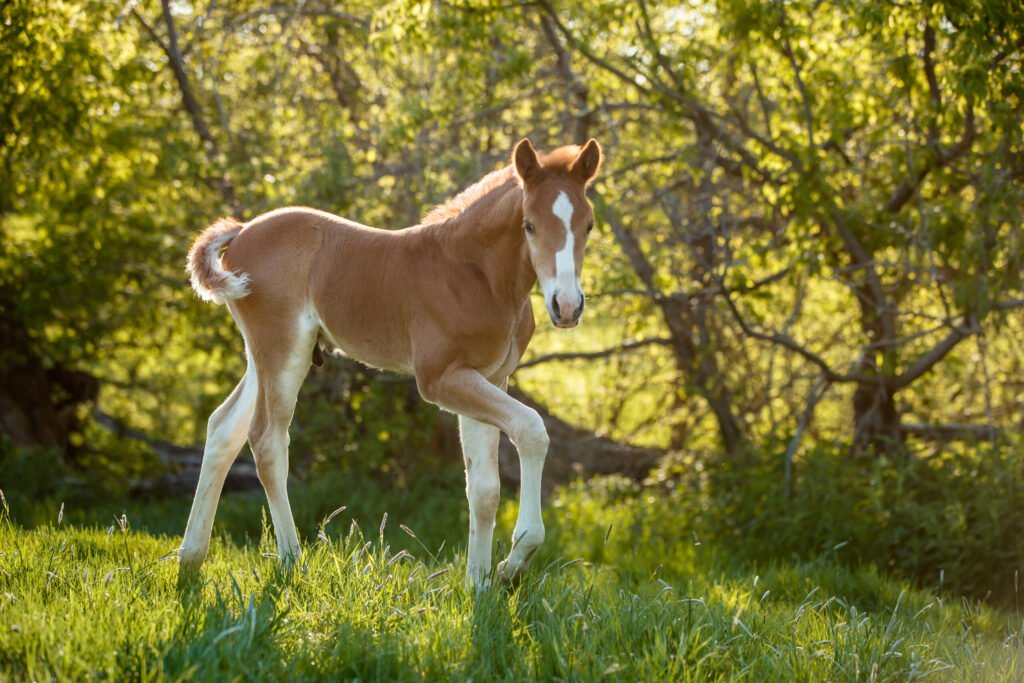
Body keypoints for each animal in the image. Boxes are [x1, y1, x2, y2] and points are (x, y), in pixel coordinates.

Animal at [180, 137, 602, 588]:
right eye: (529, 225)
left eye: (589, 225)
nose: (567, 306)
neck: (477, 274)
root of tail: (242, 230)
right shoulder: (440, 379)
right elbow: (531, 430)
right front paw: (513, 563)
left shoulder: (489, 376)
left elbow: (484, 489)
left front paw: (479, 584)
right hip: (283, 349)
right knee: (266, 440)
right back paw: (292, 559)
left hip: (261, 356)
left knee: (223, 427)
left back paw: (190, 558)